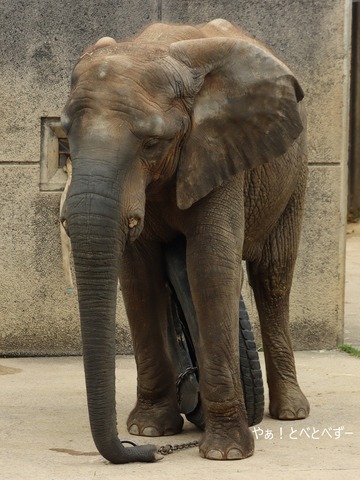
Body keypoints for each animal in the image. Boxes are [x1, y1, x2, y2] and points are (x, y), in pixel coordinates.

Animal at [61, 19, 310, 464]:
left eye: (152, 143)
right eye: (65, 135)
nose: (143, 453)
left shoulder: (220, 149)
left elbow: (211, 267)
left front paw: (226, 453)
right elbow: (138, 278)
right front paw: (150, 428)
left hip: (293, 174)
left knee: (273, 279)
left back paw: (292, 412)